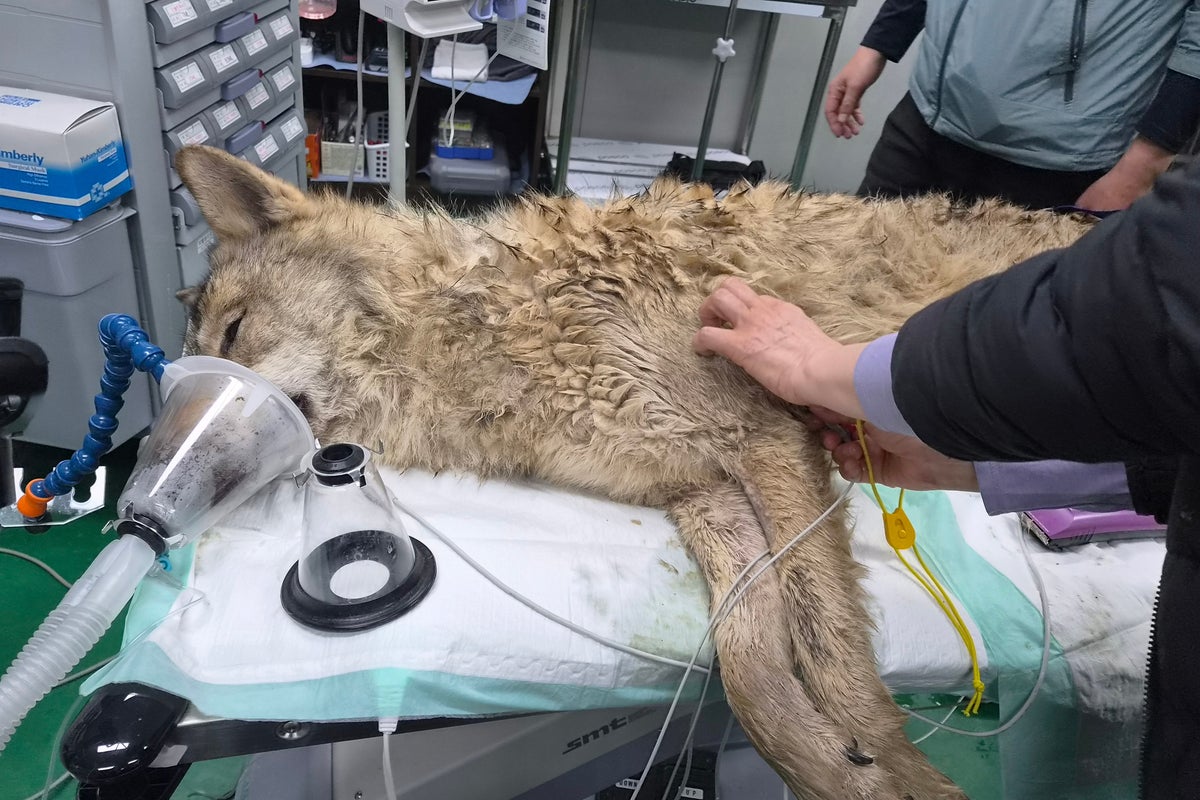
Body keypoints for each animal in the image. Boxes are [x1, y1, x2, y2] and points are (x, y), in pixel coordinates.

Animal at [175, 145, 1091, 800]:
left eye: (235, 333)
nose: (162, 477)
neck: (485, 326)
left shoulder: (765, 437)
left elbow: (831, 653)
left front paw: (900, 773)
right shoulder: (704, 492)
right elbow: (753, 670)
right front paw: (839, 769)